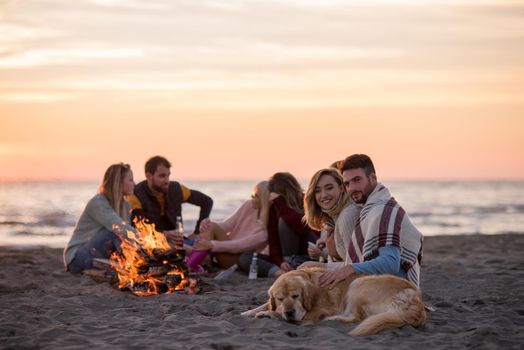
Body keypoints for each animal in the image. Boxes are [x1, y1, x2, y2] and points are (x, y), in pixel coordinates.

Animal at [242, 268, 426, 336]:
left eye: (296, 296)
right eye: (280, 299)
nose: (289, 312)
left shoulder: (313, 312)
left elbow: (285, 316)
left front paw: (268, 314)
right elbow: (266, 304)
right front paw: (248, 312)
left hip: (357, 284)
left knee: (358, 318)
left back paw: (332, 319)